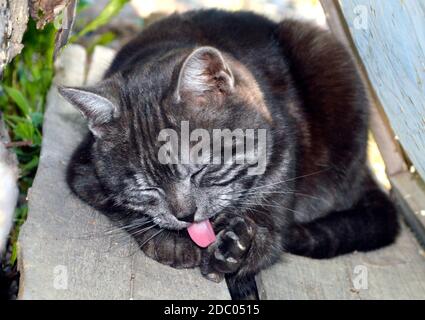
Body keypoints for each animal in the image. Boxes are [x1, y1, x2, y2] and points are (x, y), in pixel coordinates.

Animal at [58, 10, 398, 298]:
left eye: (200, 170)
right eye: (147, 187)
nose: (186, 216)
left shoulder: (282, 155)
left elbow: (272, 224)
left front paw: (240, 247)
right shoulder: (83, 171)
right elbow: (122, 208)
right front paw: (171, 242)